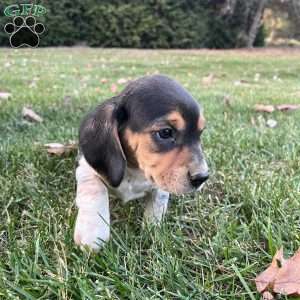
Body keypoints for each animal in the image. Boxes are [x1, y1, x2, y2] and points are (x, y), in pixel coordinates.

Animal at [74, 75, 209, 251]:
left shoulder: (160, 181)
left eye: (200, 133)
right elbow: (95, 190)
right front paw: (93, 233)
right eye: (165, 132)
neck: (134, 170)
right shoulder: (86, 168)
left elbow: (158, 201)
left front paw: (152, 228)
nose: (202, 177)